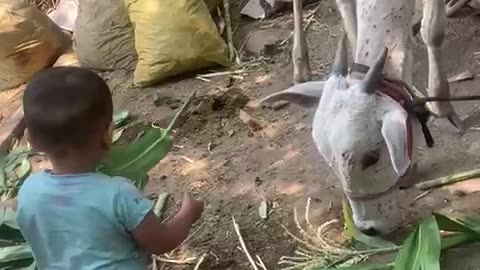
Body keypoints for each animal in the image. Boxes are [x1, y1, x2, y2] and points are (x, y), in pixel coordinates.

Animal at [262, 0, 464, 235]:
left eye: (372, 157)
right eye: (328, 160)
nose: (368, 229)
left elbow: (433, 31)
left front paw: (442, 106)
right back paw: (300, 67)